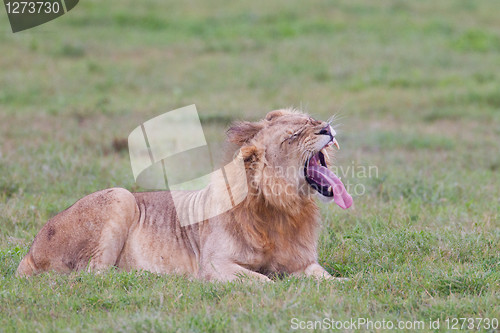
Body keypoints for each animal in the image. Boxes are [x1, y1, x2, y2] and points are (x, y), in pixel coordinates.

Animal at [16, 109, 352, 280]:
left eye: (310, 121)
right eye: (293, 136)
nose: (326, 128)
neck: (282, 209)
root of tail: (30, 251)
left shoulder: (303, 264)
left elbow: (327, 280)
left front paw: (343, 285)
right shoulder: (214, 266)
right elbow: (264, 280)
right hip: (120, 197)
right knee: (92, 275)